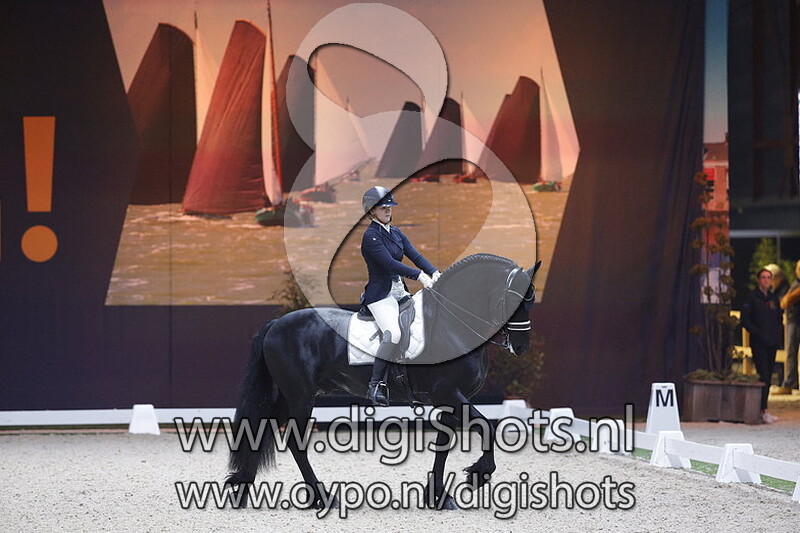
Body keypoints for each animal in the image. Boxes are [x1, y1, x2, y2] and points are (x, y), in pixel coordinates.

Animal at [226, 253, 541, 510]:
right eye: (517, 300)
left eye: (532, 300)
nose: (520, 347)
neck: (450, 325)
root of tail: (276, 324)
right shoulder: (449, 395)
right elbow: (487, 427)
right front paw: (478, 475)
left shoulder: (451, 401)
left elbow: (443, 444)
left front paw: (438, 496)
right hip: (300, 396)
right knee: (295, 441)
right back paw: (322, 497)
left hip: (287, 397)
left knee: (260, 429)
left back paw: (241, 486)